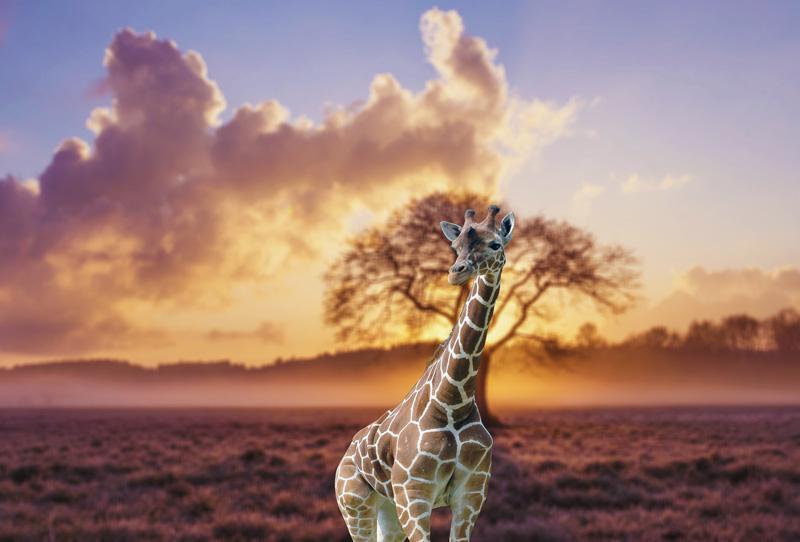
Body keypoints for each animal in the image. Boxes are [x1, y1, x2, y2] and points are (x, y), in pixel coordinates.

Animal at [335, 204, 515, 542]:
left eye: (495, 244)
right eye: (455, 247)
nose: (456, 271)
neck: (451, 403)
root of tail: (346, 454)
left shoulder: (471, 496)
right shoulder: (414, 496)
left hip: (388, 510)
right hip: (354, 504)